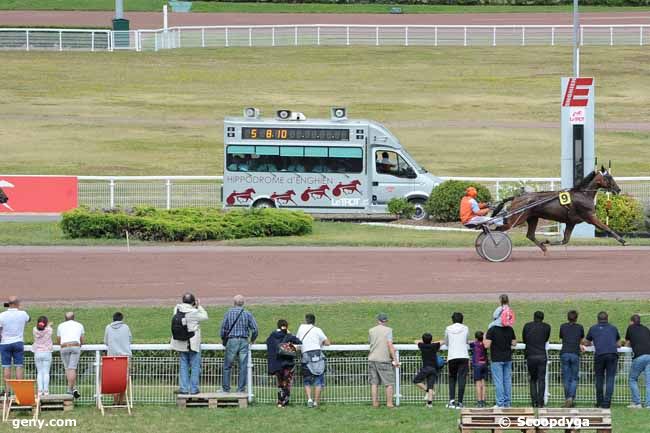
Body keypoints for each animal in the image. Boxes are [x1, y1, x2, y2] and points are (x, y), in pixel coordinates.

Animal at [492, 166, 624, 253]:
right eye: (609, 177)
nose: (618, 189)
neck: (583, 194)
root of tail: (517, 197)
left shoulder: (571, 222)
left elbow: (565, 240)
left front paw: (546, 242)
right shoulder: (590, 217)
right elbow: (606, 227)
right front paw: (621, 239)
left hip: (533, 218)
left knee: (530, 235)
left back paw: (543, 247)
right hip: (517, 219)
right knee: (499, 229)